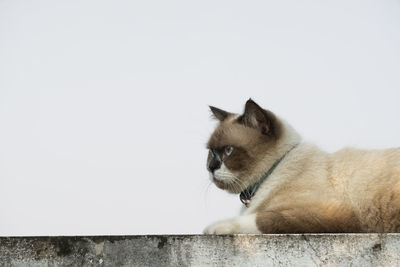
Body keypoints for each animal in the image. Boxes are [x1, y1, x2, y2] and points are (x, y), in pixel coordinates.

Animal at [205, 99, 400, 234]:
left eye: (228, 150)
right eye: (211, 152)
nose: (210, 168)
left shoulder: (333, 213)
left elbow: (262, 218)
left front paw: (215, 227)